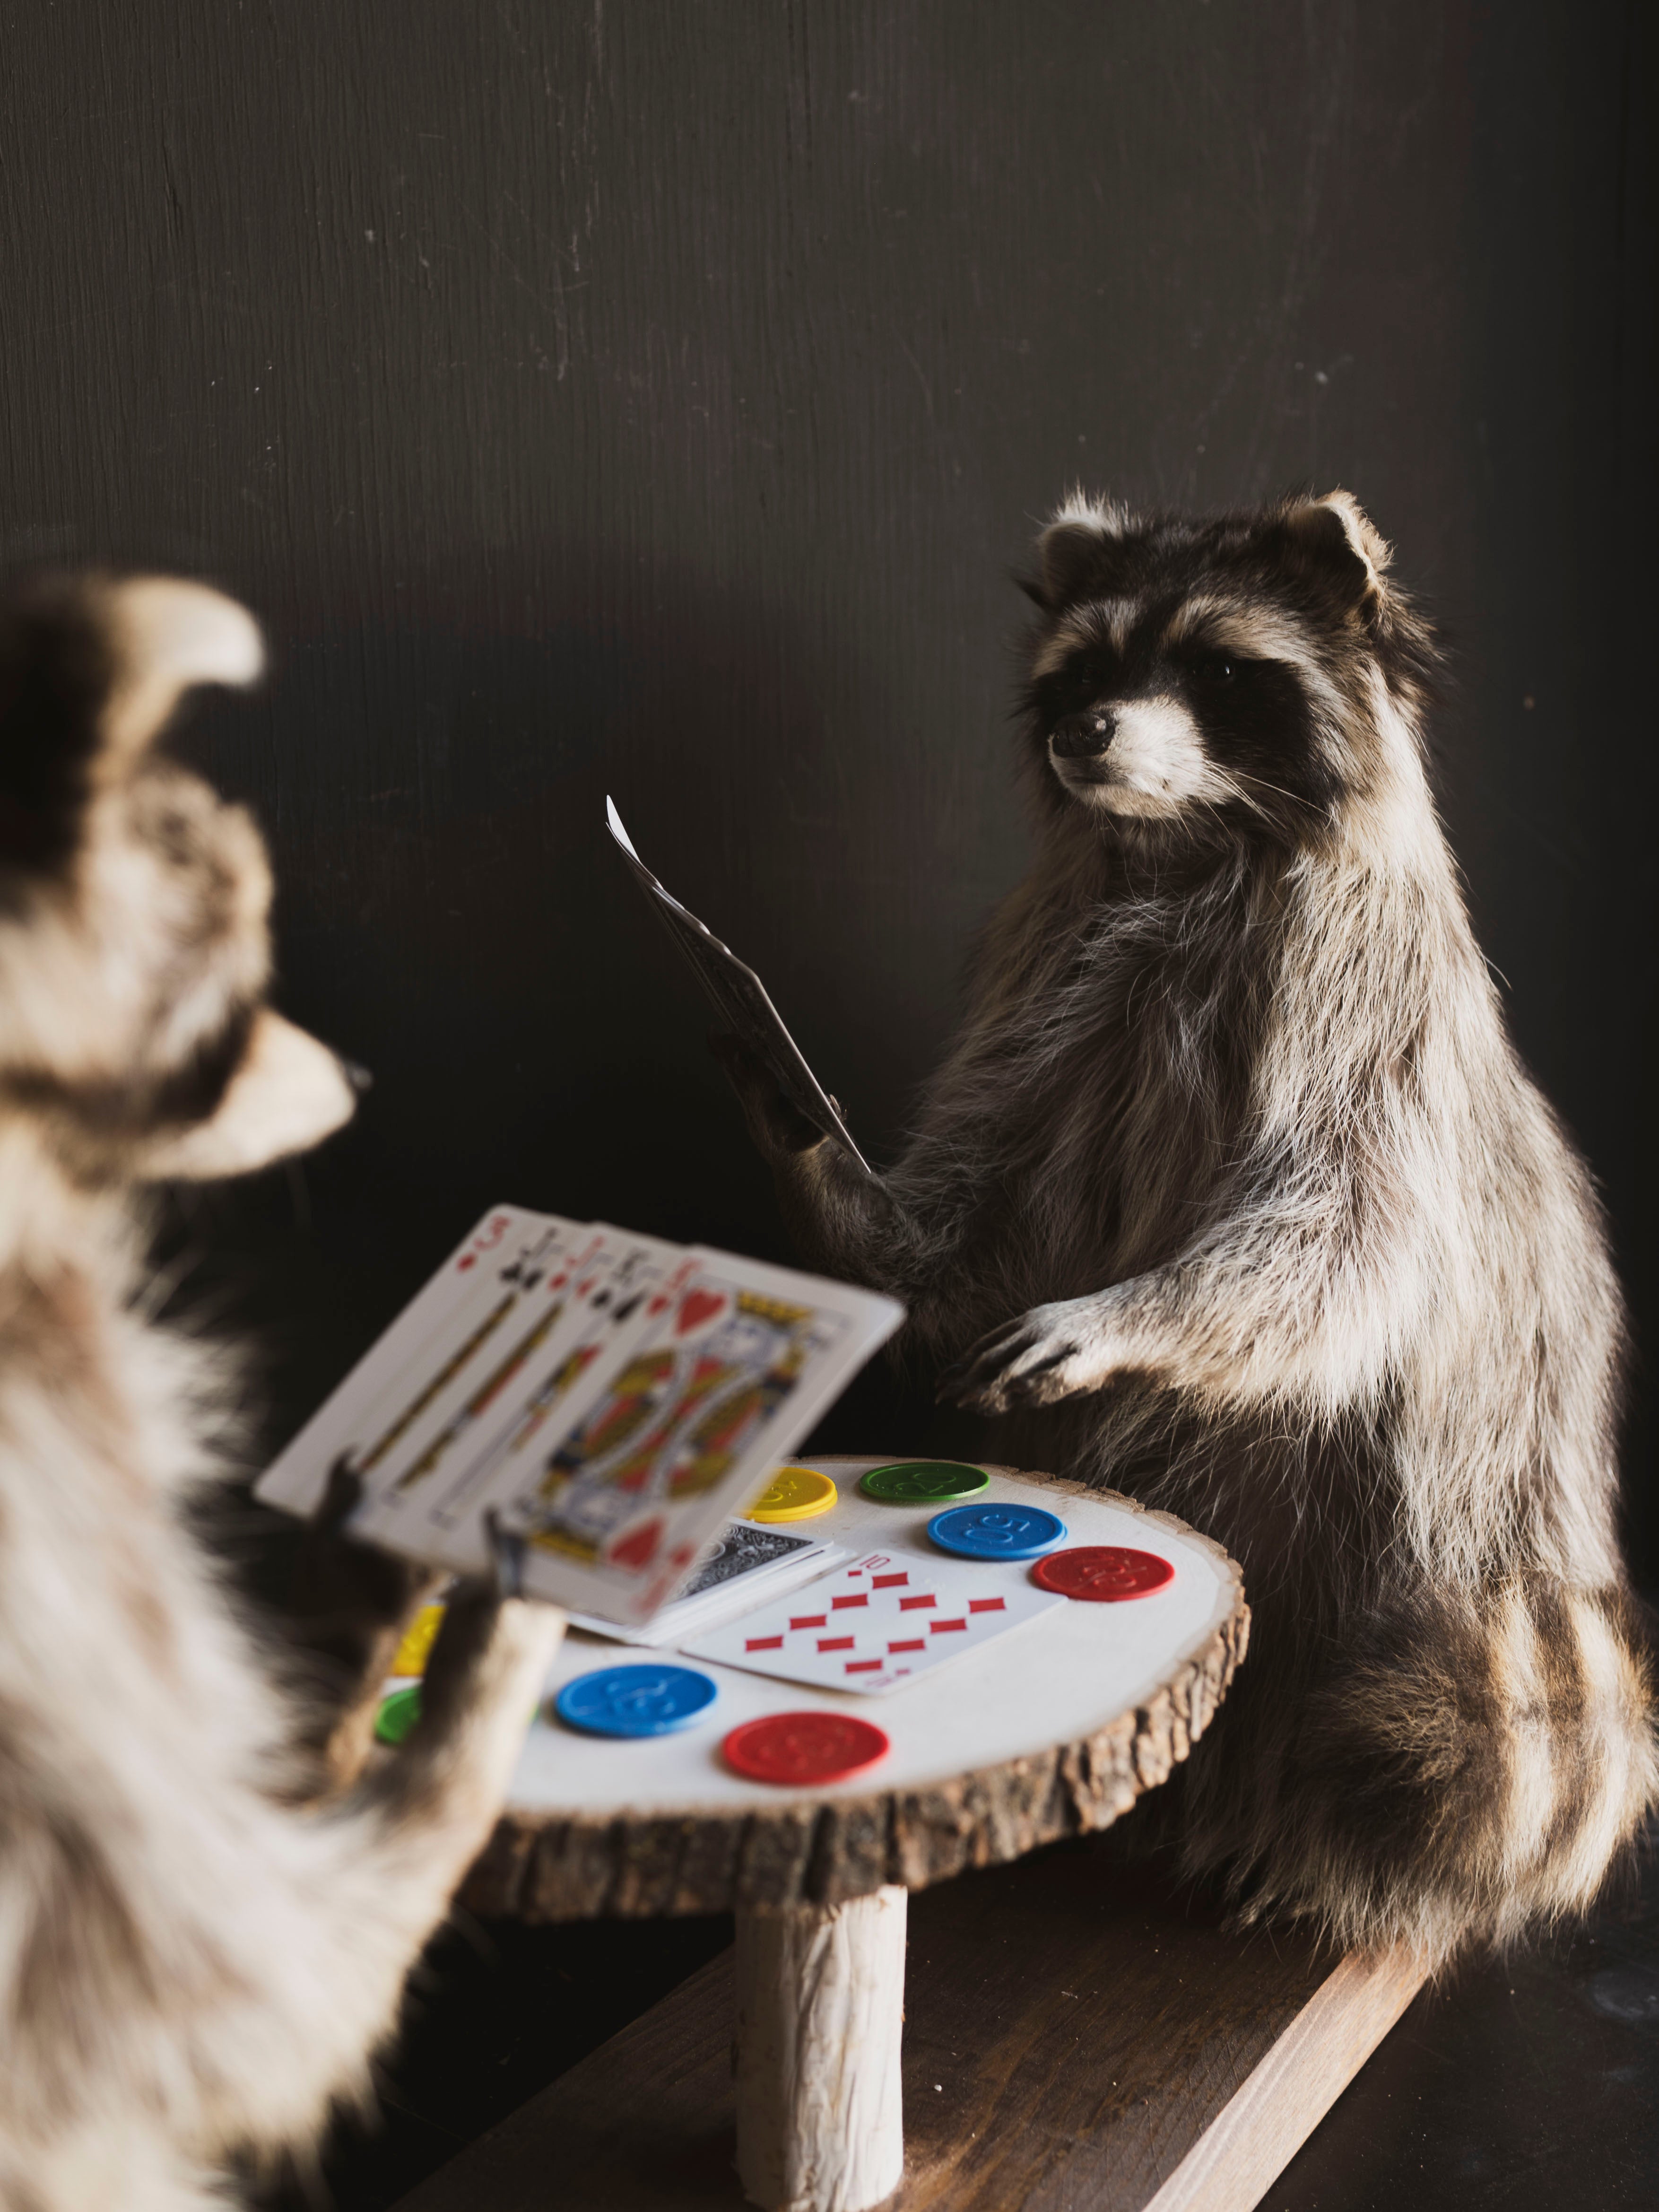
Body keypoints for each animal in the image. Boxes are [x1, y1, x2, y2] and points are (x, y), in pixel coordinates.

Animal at [0, 574, 561, 2211]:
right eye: (244, 957)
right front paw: (446, 1759)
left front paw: (354, 1593)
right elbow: (212, 1985)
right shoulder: (45, 1508)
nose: (365, 1078)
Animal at [720, 491, 1658, 1966]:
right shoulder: (1050, 981)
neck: (1186, 844)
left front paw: (1127, 1315)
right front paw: (837, 1175)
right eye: (1086, 671)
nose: (1085, 734)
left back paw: (1307, 1856)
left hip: (1437, 1544)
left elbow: (1343, 1232)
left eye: (1219, 669)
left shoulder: (1367, 1002)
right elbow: (978, 1210)